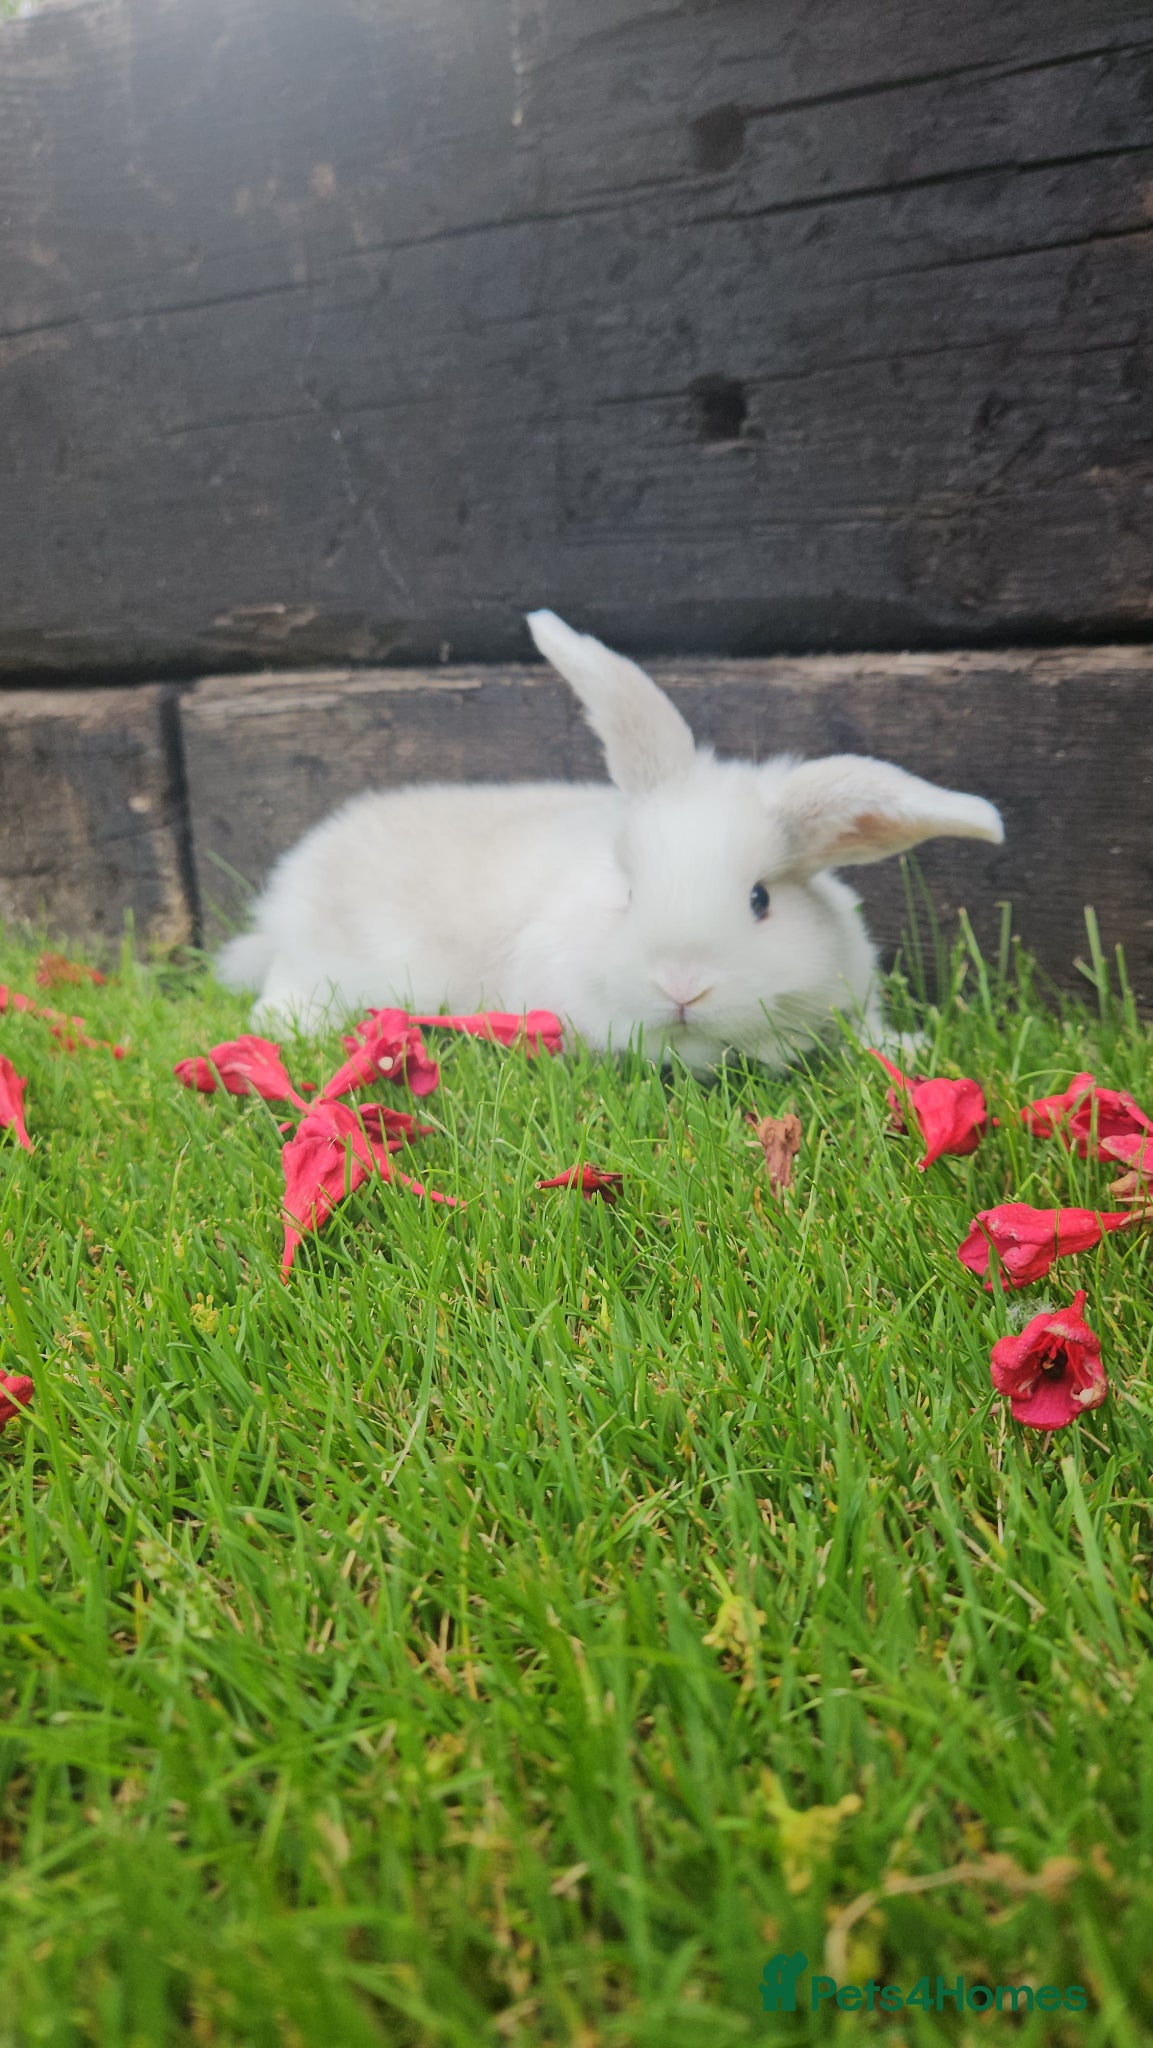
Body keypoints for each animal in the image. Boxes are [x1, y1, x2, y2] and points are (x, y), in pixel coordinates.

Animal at [216, 610, 1003, 1074]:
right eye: (627, 892)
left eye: (760, 900)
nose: (682, 986)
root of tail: (297, 882)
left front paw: (905, 1048)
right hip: (339, 957)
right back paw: (286, 1026)